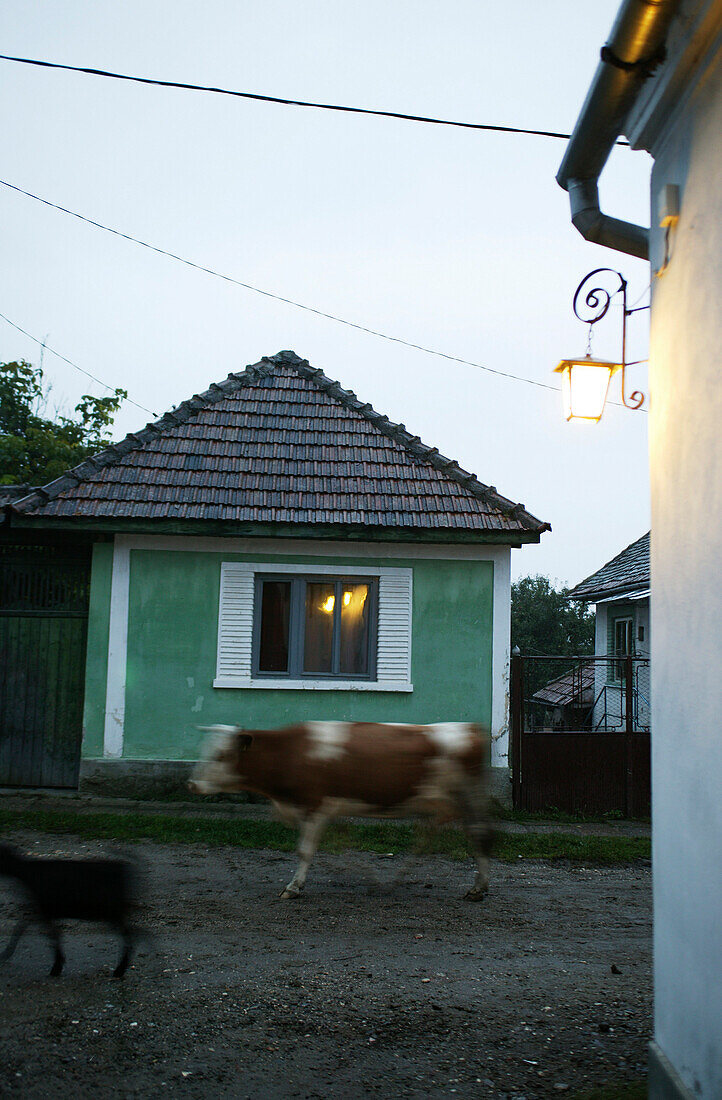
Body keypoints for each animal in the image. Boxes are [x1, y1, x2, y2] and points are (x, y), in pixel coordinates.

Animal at [0, 840, 137, 981]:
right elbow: (22, 926)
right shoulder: (42, 910)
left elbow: (51, 935)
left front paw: (57, 967)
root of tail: (122, 868)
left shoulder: (45, 910)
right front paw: (6, 953)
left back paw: (120, 970)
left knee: (130, 934)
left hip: (112, 910)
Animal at [186, 721, 493, 902]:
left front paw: (293, 887)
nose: (191, 784)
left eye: (221, 756)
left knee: (478, 833)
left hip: (466, 797)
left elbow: (304, 850)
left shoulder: (313, 806)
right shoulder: (323, 808)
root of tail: (467, 727)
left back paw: (477, 887)